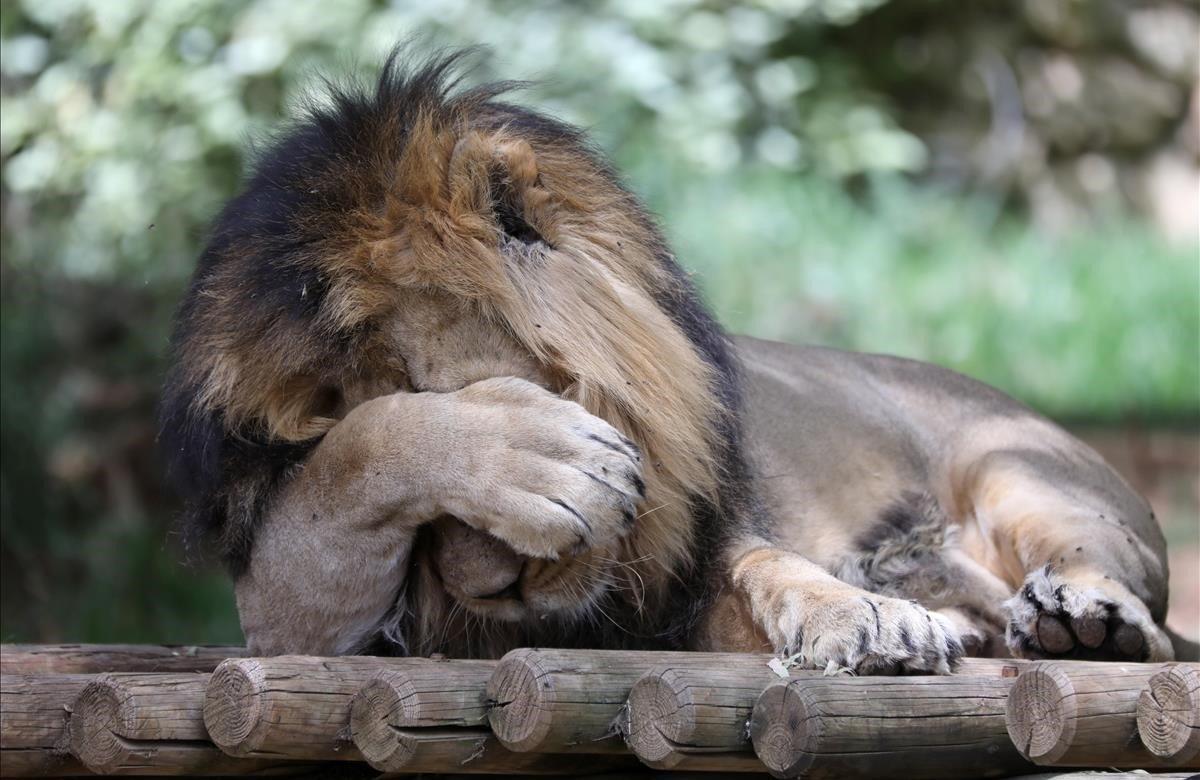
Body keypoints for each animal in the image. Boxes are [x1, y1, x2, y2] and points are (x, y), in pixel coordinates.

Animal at [154, 50, 1176, 667]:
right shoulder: (288, 618)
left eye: (516, 388)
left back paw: (1082, 621)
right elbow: (359, 446)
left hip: (1014, 460)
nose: (494, 589)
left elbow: (771, 565)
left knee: (1125, 596)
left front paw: (865, 614)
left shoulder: (700, 554)